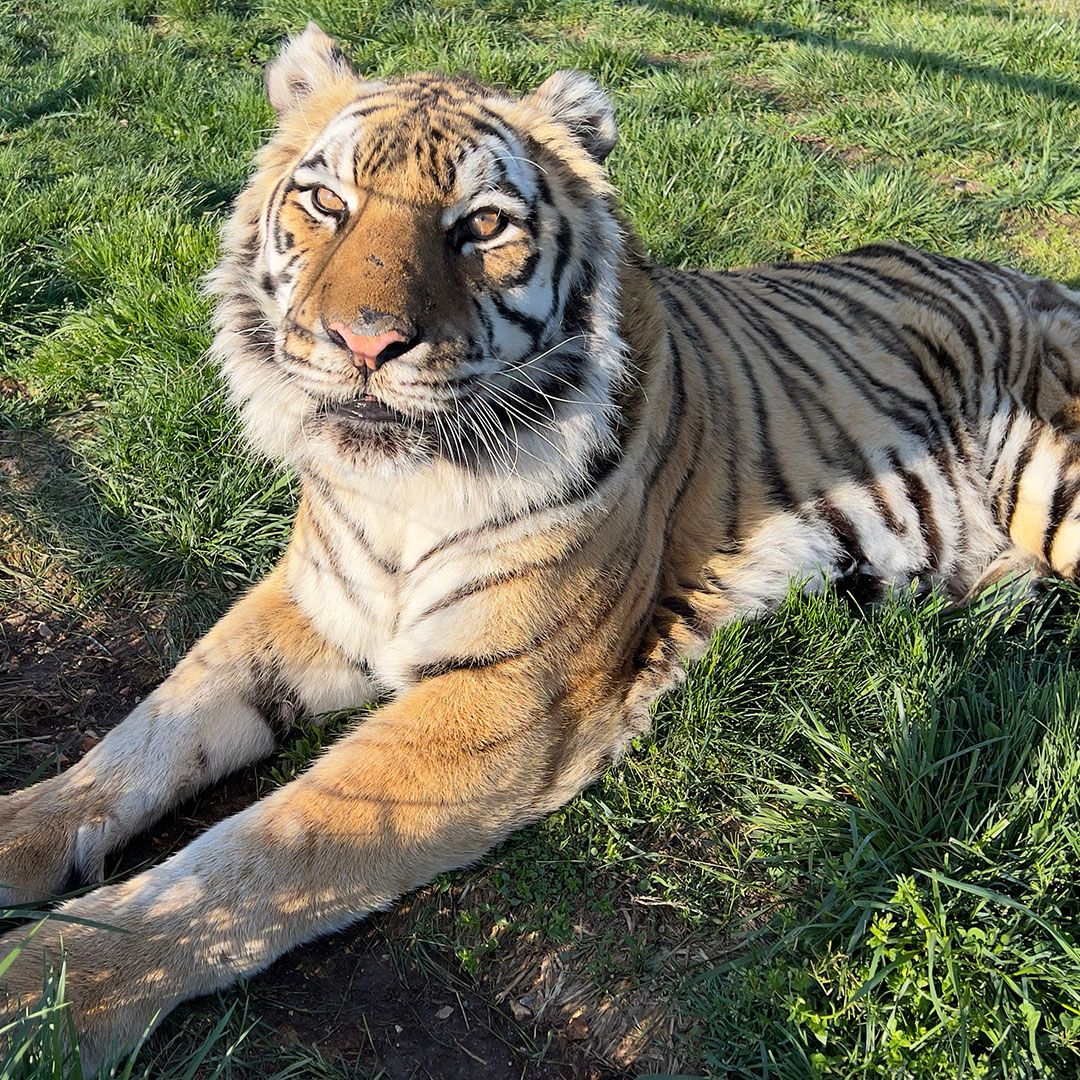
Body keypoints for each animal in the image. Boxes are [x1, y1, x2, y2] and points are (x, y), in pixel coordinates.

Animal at [3, 20, 1080, 1064]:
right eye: (324, 201)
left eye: (481, 224)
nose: (363, 343)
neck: (401, 490)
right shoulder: (313, 600)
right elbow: (150, 732)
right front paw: (22, 833)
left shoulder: (503, 698)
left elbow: (264, 850)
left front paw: (50, 988)